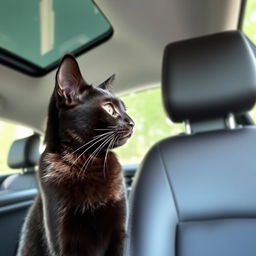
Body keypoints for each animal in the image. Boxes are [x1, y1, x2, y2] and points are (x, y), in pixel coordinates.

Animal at [16, 55, 134, 255]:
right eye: (109, 109)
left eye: (125, 109)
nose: (132, 122)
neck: (86, 160)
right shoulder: (63, 240)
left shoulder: (118, 232)